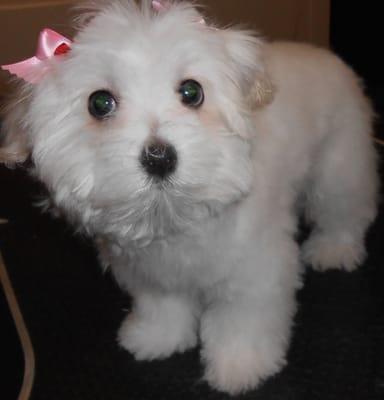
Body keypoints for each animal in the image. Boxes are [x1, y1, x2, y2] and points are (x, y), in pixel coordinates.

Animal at [0, 0, 378, 394]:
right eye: (100, 103)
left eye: (191, 92)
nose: (159, 157)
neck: (174, 214)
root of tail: (324, 54)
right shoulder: (151, 272)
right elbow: (162, 306)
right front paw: (157, 337)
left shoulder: (255, 270)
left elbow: (243, 319)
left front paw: (241, 365)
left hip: (340, 166)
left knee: (345, 209)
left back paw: (334, 248)